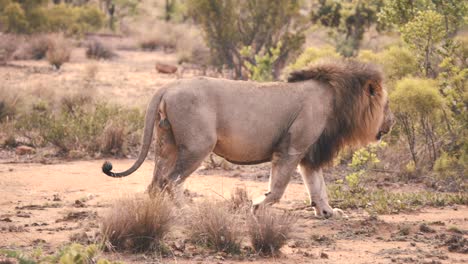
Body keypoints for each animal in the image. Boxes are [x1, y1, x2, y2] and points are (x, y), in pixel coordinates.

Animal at [103, 59, 394, 219]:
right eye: (387, 105)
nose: (392, 122)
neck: (337, 101)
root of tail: (169, 85)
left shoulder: (309, 153)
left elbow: (318, 187)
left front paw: (328, 213)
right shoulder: (292, 148)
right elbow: (278, 188)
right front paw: (257, 206)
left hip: (168, 143)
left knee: (155, 182)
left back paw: (155, 214)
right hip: (198, 145)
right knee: (170, 181)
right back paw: (187, 211)